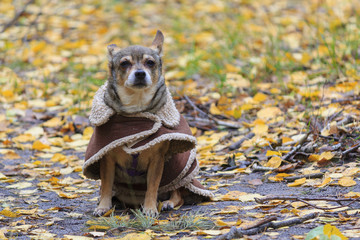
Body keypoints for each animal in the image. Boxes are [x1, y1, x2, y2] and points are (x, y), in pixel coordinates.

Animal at [83, 29, 212, 216]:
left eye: (150, 62)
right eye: (124, 63)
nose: (140, 73)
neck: (136, 113)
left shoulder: (157, 160)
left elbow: (152, 186)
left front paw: (150, 208)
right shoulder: (107, 159)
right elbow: (106, 185)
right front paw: (103, 207)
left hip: (177, 176)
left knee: (178, 193)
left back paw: (167, 203)